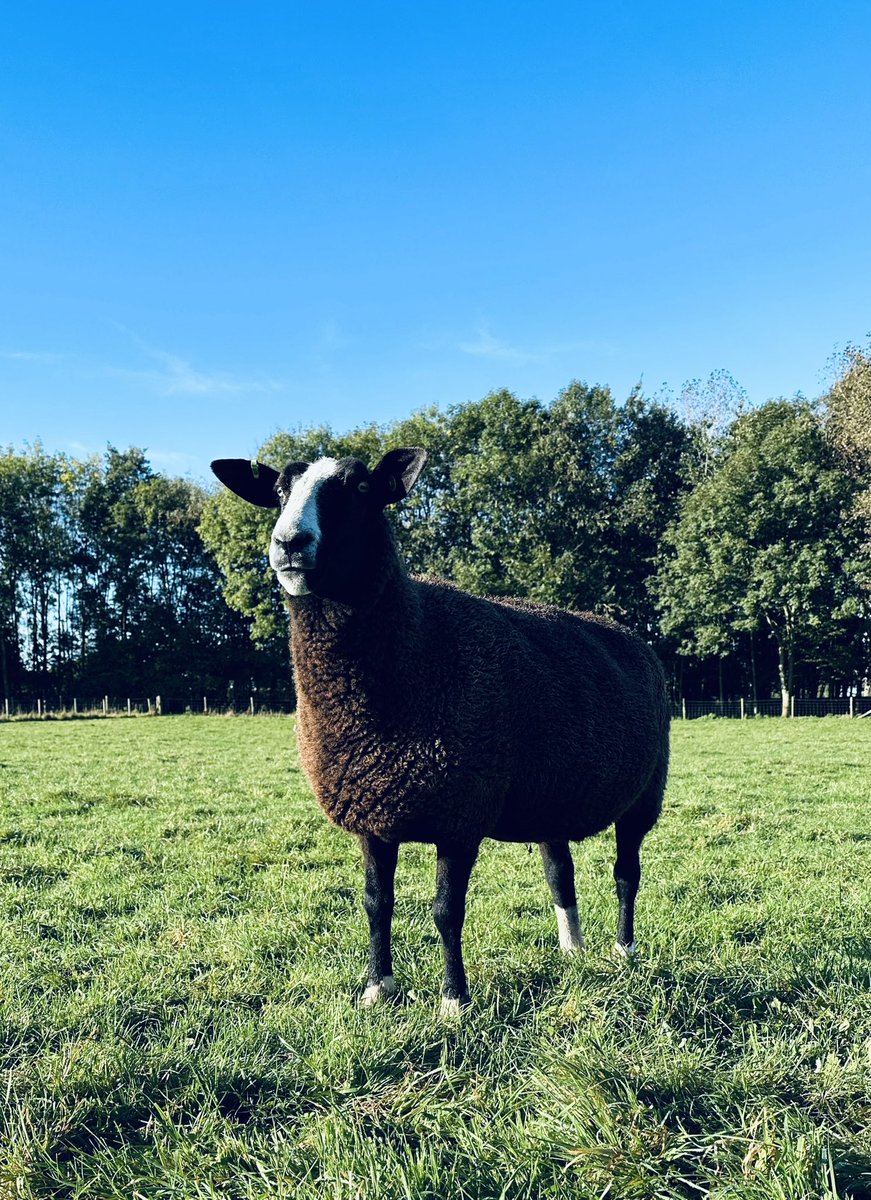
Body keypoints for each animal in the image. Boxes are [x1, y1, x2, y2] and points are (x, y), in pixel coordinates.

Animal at [211, 448, 669, 1014]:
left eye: (361, 488)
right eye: (278, 491)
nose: (289, 544)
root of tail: (632, 635)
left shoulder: (459, 817)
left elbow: (446, 911)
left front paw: (455, 1000)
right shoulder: (373, 814)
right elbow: (375, 903)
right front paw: (378, 988)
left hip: (645, 795)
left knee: (627, 872)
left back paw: (623, 951)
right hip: (551, 795)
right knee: (560, 872)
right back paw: (572, 950)